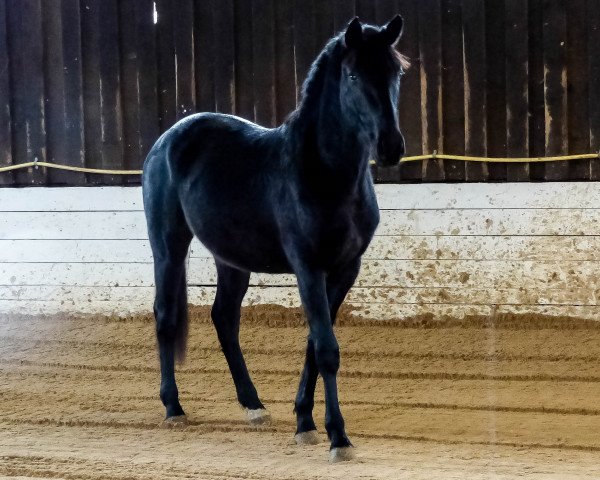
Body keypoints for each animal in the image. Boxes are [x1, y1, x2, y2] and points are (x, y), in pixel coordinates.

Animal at [142, 16, 408, 462]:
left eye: (395, 73)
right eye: (354, 75)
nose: (391, 147)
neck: (323, 172)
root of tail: (167, 140)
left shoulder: (344, 270)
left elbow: (314, 346)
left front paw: (304, 422)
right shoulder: (308, 267)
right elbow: (327, 349)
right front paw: (338, 437)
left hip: (232, 260)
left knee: (224, 318)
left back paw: (253, 405)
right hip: (168, 245)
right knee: (165, 315)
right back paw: (174, 408)